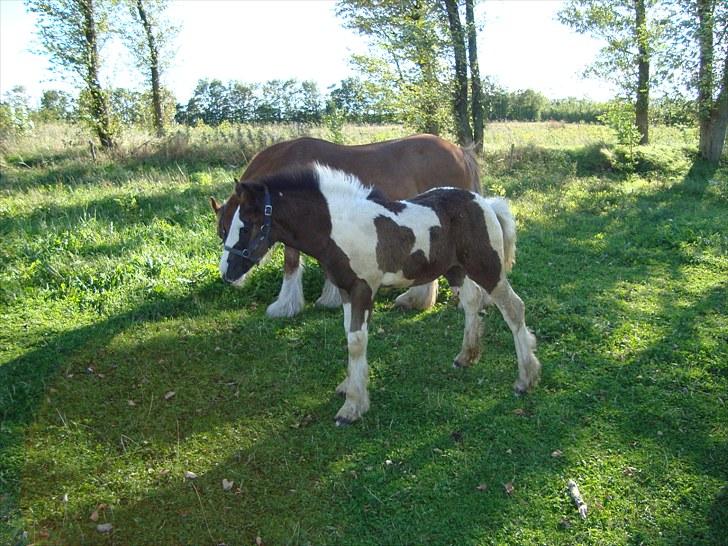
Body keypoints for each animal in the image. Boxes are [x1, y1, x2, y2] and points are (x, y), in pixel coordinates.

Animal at [210, 133, 484, 316]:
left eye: (236, 228)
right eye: (223, 231)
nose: (227, 275)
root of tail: (460, 151)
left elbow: (291, 264)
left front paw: (285, 306)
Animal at [213, 164, 536, 422]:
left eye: (245, 226)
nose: (227, 273)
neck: (339, 227)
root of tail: (484, 202)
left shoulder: (362, 290)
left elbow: (356, 341)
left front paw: (352, 406)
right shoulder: (345, 290)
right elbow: (349, 334)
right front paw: (349, 385)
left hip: (487, 267)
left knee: (514, 308)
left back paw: (526, 378)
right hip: (455, 269)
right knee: (471, 302)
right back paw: (466, 356)